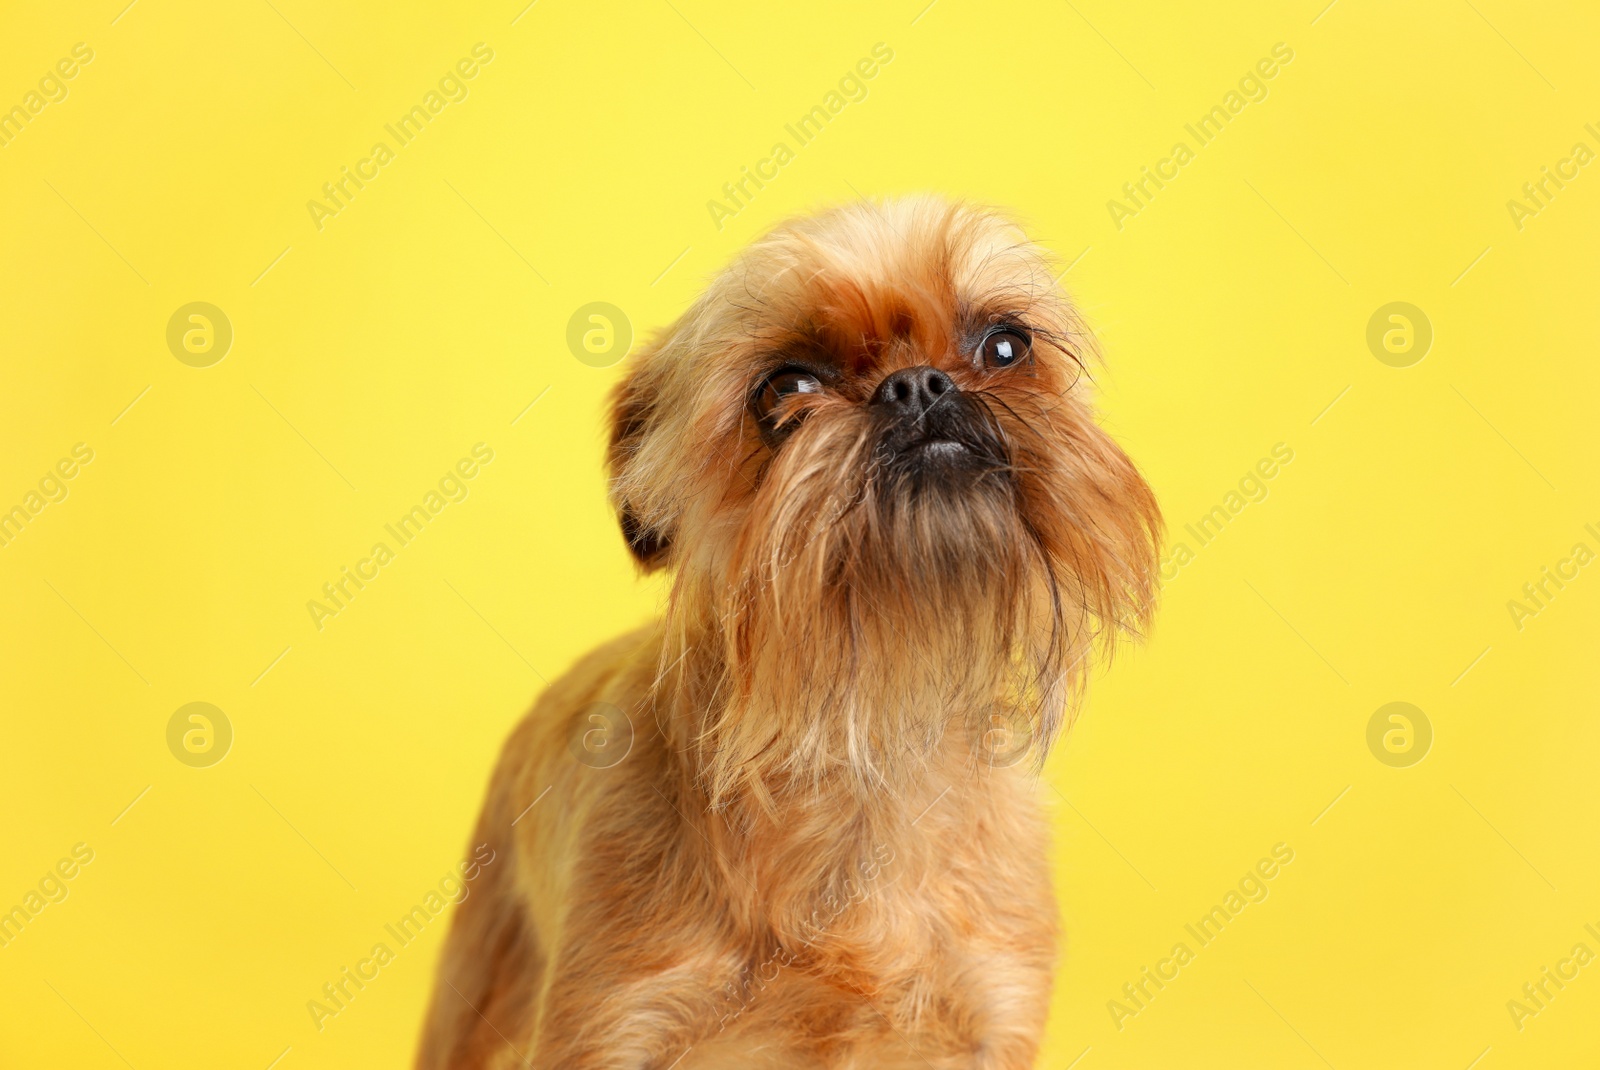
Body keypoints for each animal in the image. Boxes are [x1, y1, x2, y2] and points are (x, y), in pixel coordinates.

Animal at [412, 195, 1164, 1062]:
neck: (860, 738)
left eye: (1007, 345)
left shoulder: (991, 1015)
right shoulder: (611, 1025)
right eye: (786, 389)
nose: (917, 385)